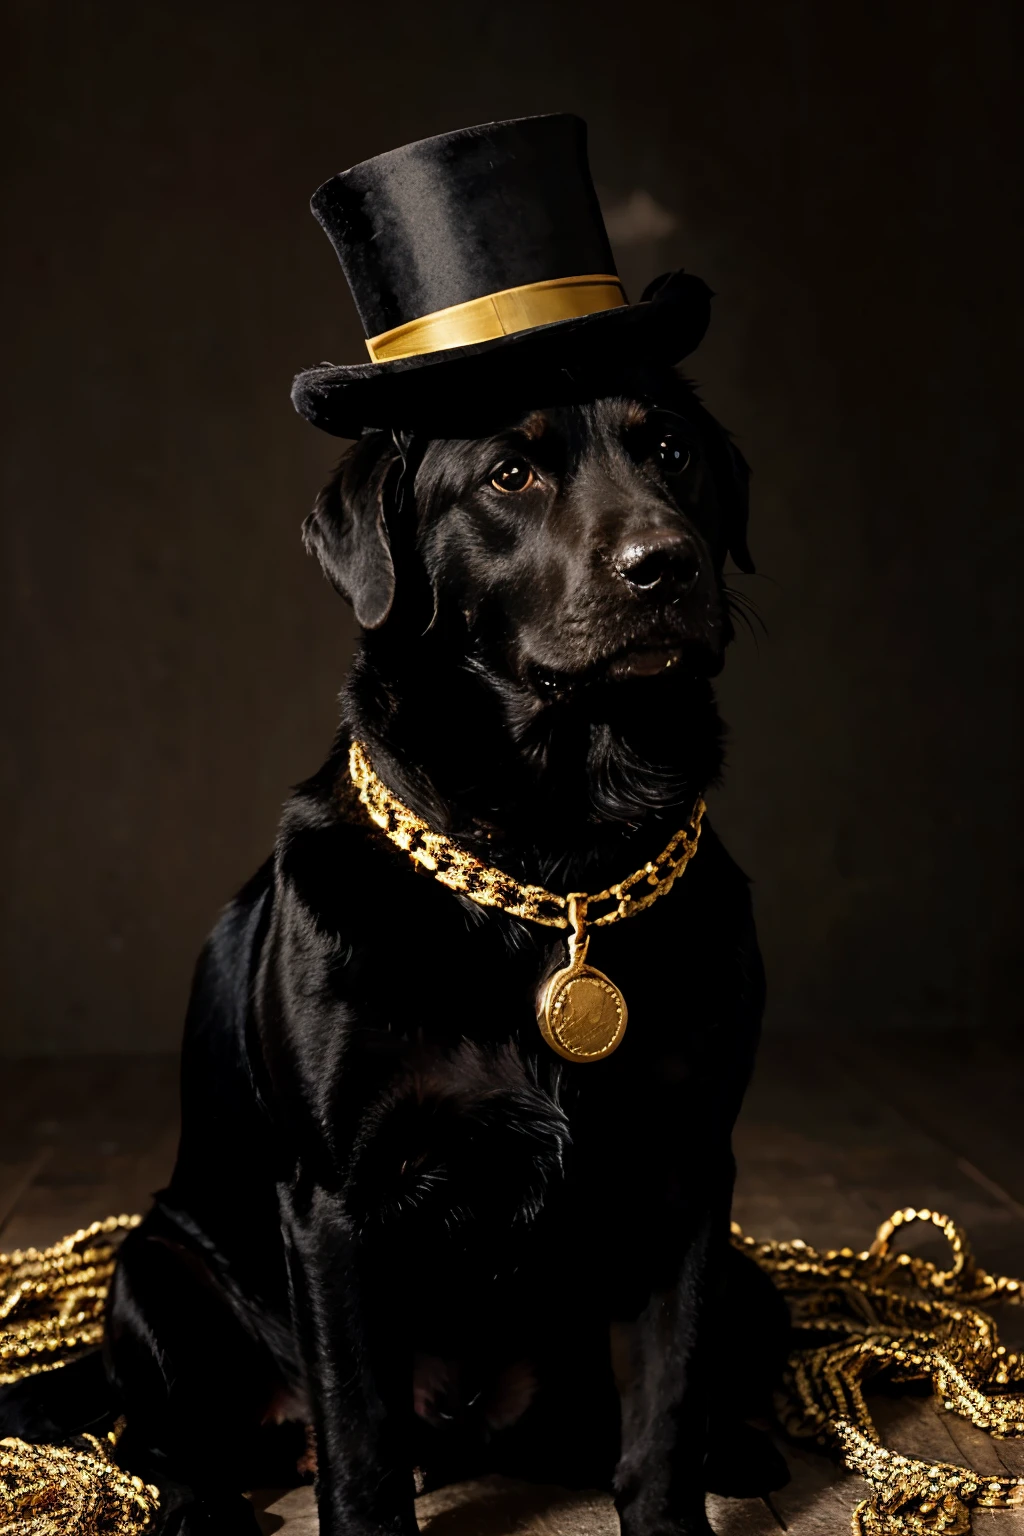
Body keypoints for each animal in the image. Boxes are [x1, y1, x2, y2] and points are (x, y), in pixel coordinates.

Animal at [0, 362, 792, 1536]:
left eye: (672, 452)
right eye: (510, 473)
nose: (667, 563)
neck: (556, 863)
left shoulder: (687, 1174)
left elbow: (665, 1410)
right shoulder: (338, 1202)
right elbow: (360, 1435)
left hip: (741, 1278)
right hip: (158, 1269)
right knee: (160, 1435)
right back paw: (201, 1503)